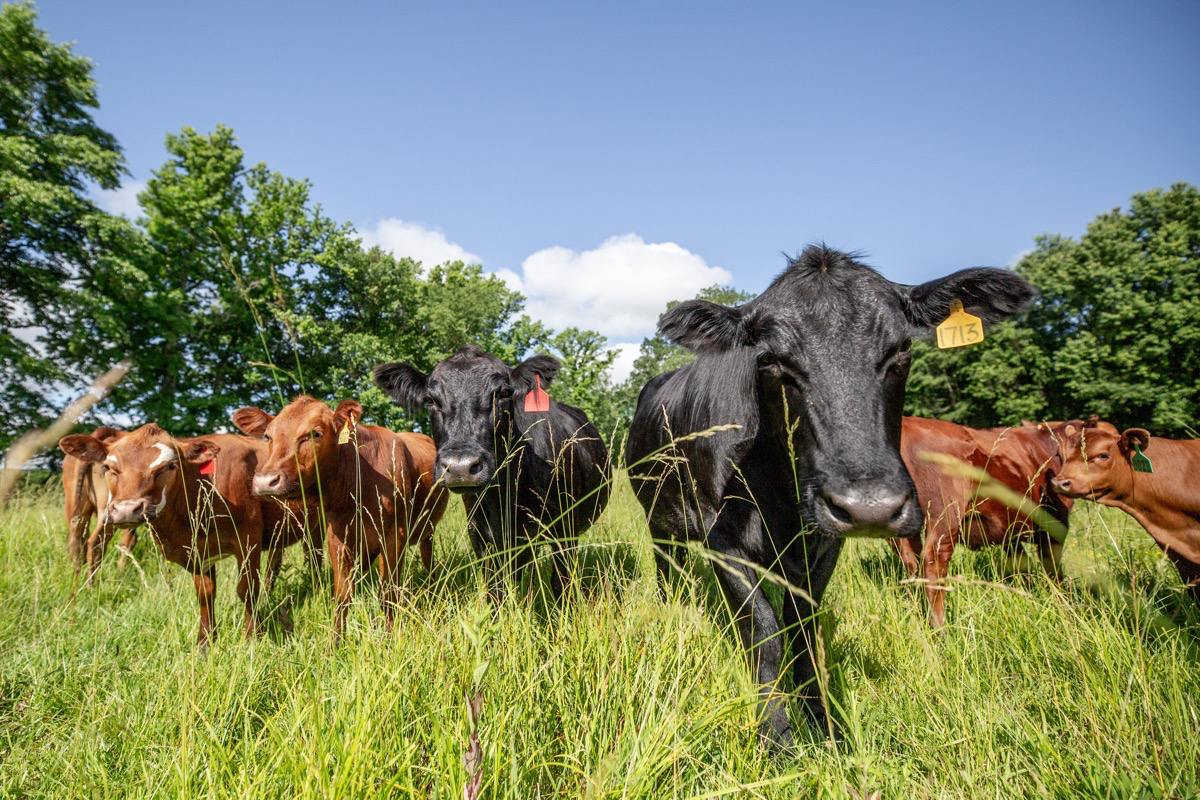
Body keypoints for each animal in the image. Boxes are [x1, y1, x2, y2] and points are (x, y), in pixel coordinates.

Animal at [232, 397, 449, 642]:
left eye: (315, 433)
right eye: (268, 436)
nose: (266, 481)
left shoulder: (396, 535)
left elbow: (388, 592)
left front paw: (389, 634)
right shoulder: (337, 536)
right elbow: (343, 594)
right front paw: (336, 640)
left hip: (427, 528)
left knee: (428, 557)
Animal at [372, 346, 611, 598]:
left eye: (503, 393)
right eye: (430, 400)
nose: (460, 466)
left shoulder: (565, 530)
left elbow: (560, 583)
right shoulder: (480, 533)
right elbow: (496, 588)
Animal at [625, 244, 1034, 750]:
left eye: (902, 349)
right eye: (771, 359)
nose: (869, 506)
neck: (782, 500)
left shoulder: (824, 544)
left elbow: (803, 628)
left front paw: (821, 723)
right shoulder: (722, 540)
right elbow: (764, 630)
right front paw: (776, 733)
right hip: (658, 517)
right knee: (669, 566)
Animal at [893, 417, 1075, 629]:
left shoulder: (1010, 534)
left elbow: (1022, 564)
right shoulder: (1055, 527)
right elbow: (1053, 571)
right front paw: (1064, 607)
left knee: (910, 562)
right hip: (945, 514)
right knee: (934, 562)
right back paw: (940, 628)